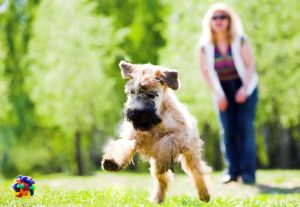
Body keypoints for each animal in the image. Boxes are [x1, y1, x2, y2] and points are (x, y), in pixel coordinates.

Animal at [102, 60, 210, 203]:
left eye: (151, 94)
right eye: (131, 92)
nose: (134, 113)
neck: (155, 121)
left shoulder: (179, 136)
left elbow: (166, 143)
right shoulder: (132, 138)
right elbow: (122, 147)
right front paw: (112, 162)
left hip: (191, 154)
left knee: (197, 172)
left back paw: (204, 194)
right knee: (162, 178)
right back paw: (157, 198)